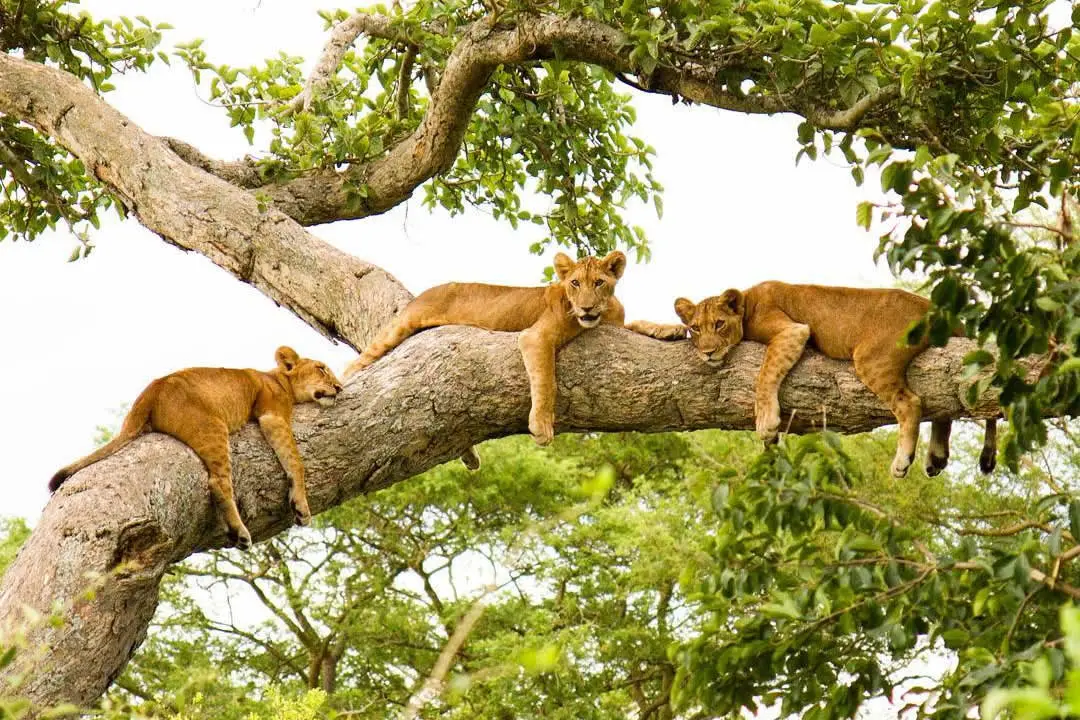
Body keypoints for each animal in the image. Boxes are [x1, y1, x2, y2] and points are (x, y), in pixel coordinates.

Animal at [50, 346, 344, 550]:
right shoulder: (273, 415)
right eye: (321, 368)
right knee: (218, 482)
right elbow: (296, 461)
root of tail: (151, 391)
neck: (278, 379)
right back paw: (240, 532)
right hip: (213, 426)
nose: (339, 388)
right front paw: (301, 506)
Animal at [344, 251, 627, 451]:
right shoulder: (535, 337)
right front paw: (542, 425)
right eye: (575, 283)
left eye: (599, 283)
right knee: (355, 364)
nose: (587, 308)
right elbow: (547, 381)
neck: (605, 313)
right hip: (400, 326)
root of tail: (425, 292)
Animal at [628, 282, 997, 478]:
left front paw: (766, 422)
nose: (707, 352)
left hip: (871, 358)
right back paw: (935, 457)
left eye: (719, 324)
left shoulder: (792, 330)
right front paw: (648, 327)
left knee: (912, 403)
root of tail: (936, 308)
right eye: (695, 328)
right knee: (942, 407)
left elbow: (765, 375)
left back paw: (902, 461)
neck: (747, 300)